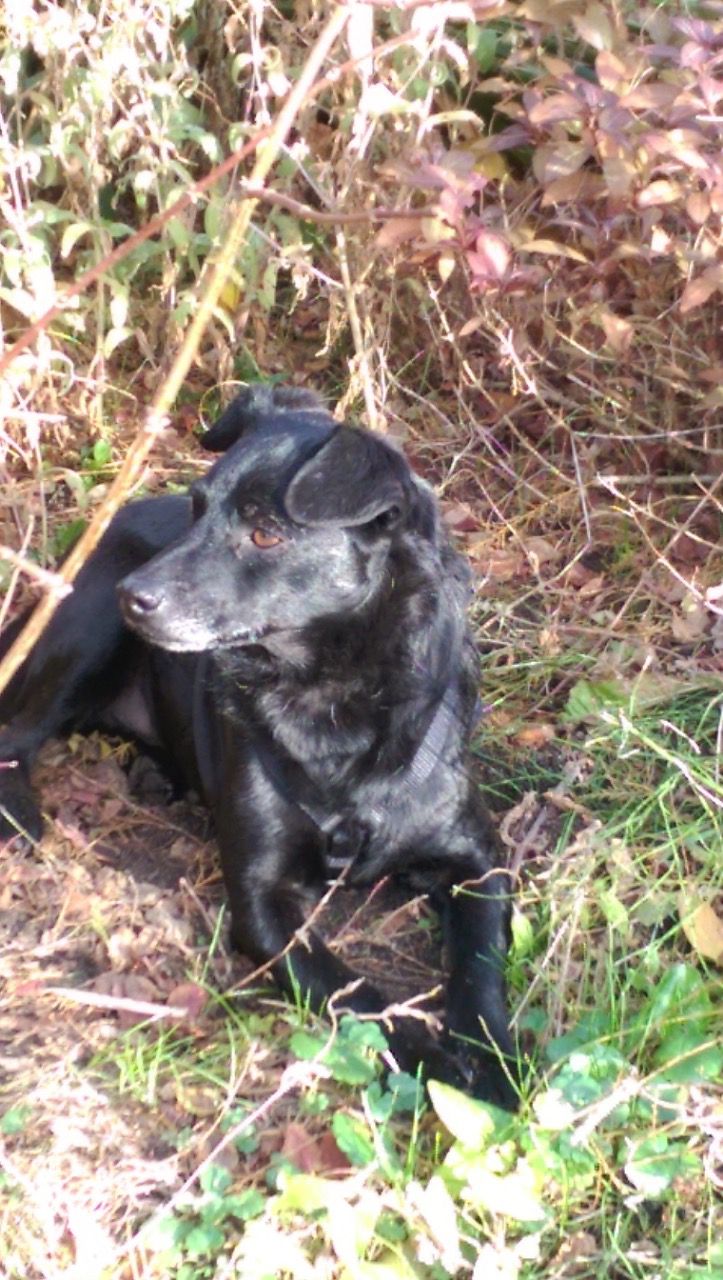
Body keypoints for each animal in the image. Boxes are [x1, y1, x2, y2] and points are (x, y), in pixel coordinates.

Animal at [0, 385, 518, 1107]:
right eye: (196, 508)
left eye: (265, 533)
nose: (136, 595)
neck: (331, 699)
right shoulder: (261, 902)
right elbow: (358, 998)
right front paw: (436, 1067)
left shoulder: (477, 859)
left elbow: (480, 963)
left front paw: (493, 1063)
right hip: (85, 637)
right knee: (13, 732)